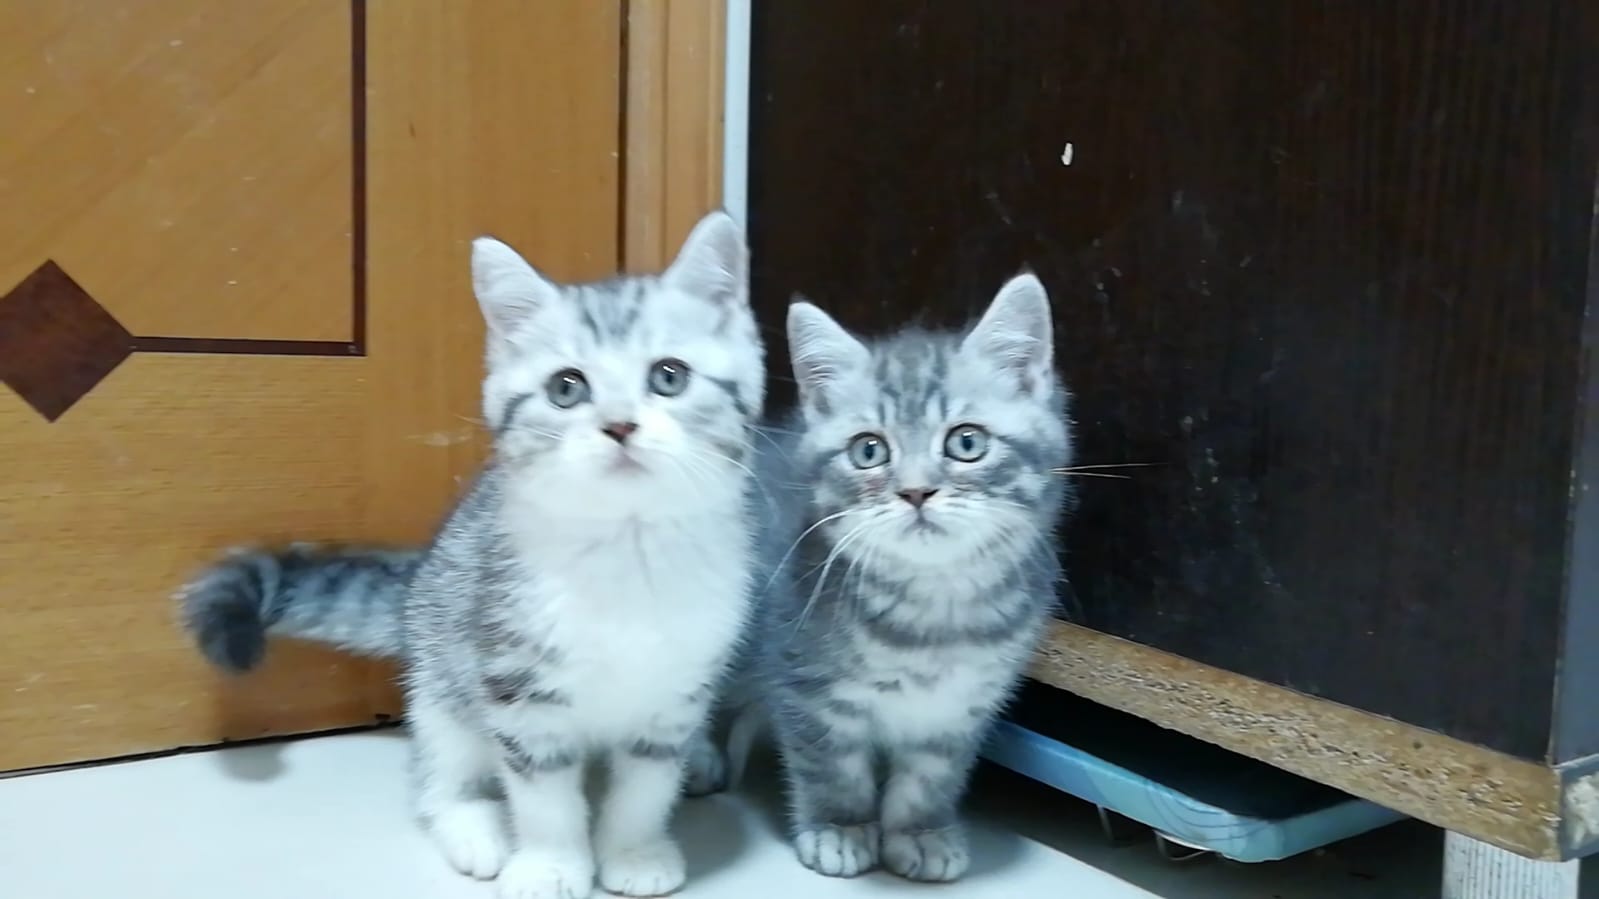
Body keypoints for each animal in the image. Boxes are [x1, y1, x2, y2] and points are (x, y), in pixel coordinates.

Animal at [178, 210, 765, 899]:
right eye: (567, 388)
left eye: (669, 376)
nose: (619, 425)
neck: (627, 544)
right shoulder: (515, 682)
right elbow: (544, 794)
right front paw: (551, 864)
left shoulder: (675, 693)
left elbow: (645, 785)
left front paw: (634, 851)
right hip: (442, 685)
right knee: (441, 776)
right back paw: (474, 830)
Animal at [742, 273, 1071, 882]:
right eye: (869, 450)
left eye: (966, 442)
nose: (916, 491)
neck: (933, 614)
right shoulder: (806, 684)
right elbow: (830, 762)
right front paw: (840, 827)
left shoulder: (963, 707)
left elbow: (932, 775)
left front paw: (921, 833)